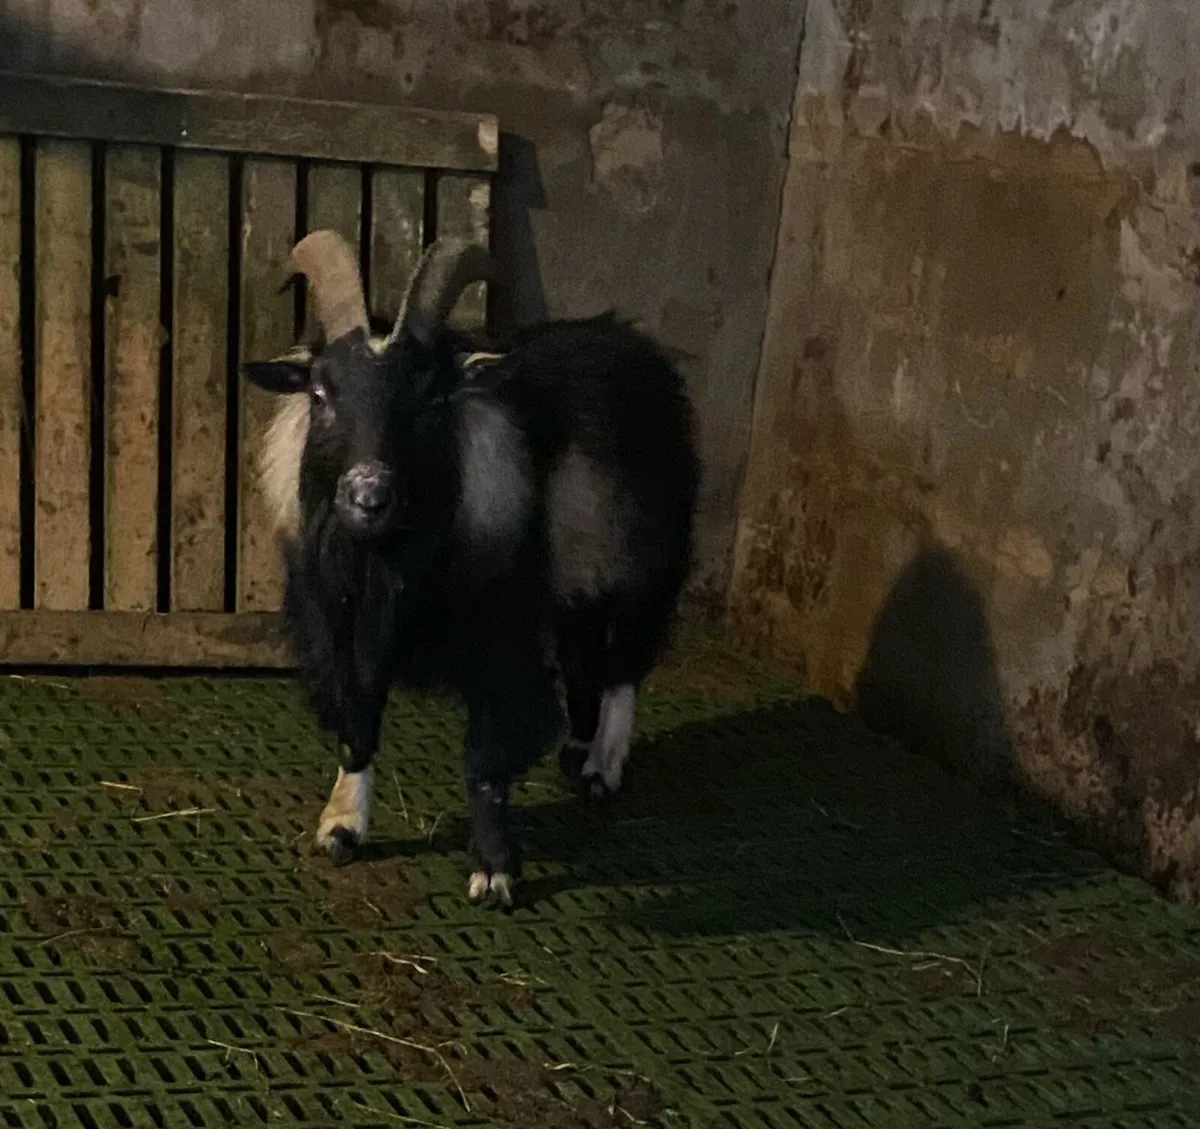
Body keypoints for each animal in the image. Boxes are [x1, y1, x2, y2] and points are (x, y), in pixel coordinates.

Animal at [242, 229, 699, 909]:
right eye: (320, 394)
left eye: (432, 397)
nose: (369, 496)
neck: (389, 562)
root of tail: (631, 340)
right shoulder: (341, 632)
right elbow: (357, 726)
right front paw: (342, 828)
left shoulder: (500, 645)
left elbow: (486, 759)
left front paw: (493, 871)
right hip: (575, 589)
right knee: (583, 660)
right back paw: (576, 747)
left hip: (645, 571)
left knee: (623, 667)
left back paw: (600, 769)